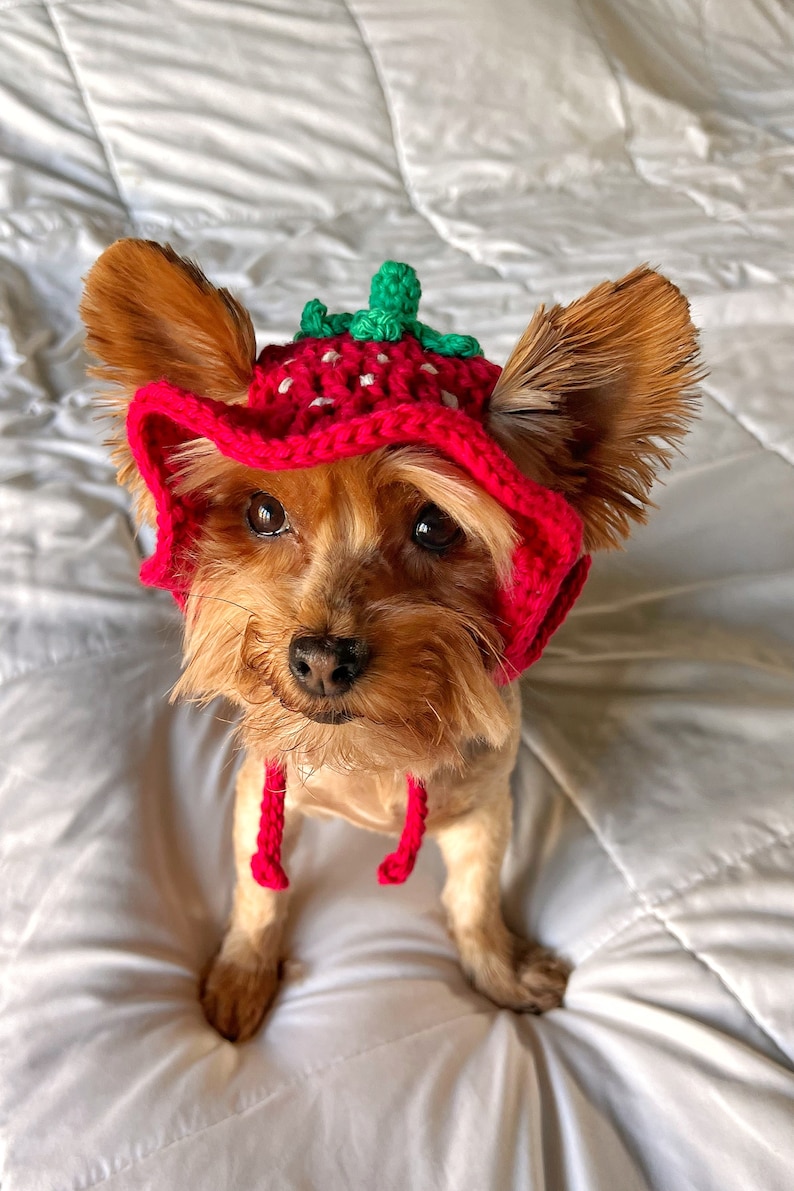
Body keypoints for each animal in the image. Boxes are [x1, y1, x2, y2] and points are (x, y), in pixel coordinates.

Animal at [80, 244, 699, 1043]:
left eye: (436, 526)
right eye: (263, 512)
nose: (320, 658)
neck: (372, 752)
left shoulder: (484, 806)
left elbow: (475, 897)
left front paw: (499, 970)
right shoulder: (261, 788)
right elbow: (257, 888)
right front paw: (244, 969)